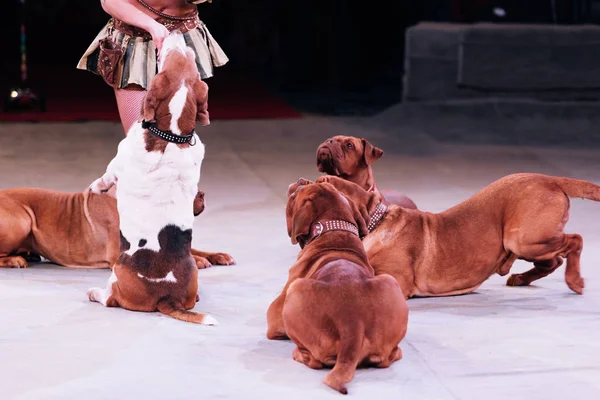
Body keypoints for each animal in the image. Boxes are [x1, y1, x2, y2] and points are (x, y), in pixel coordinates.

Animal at [84, 32, 216, 324]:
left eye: (171, 56)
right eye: (188, 59)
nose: (173, 33)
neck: (172, 135)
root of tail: (167, 296)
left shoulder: (116, 164)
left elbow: (104, 178)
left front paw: (96, 187)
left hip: (117, 272)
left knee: (110, 299)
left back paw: (94, 293)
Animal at [266, 180, 408, 394]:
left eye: (299, 192)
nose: (301, 180)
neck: (334, 230)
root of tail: (353, 323)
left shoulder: (275, 317)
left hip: (296, 289)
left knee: (313, 359)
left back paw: (299, 354)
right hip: (390, 281)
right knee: (391, 355)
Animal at [314, 173, 596, 298]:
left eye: (322, 185)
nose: (304, 180)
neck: (376, 221)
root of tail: (550, 179)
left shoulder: (396, 281)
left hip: (523, 239)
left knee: (575, 241)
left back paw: (574, 280)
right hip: (527, 244)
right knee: (554, 259)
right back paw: (521, 279)